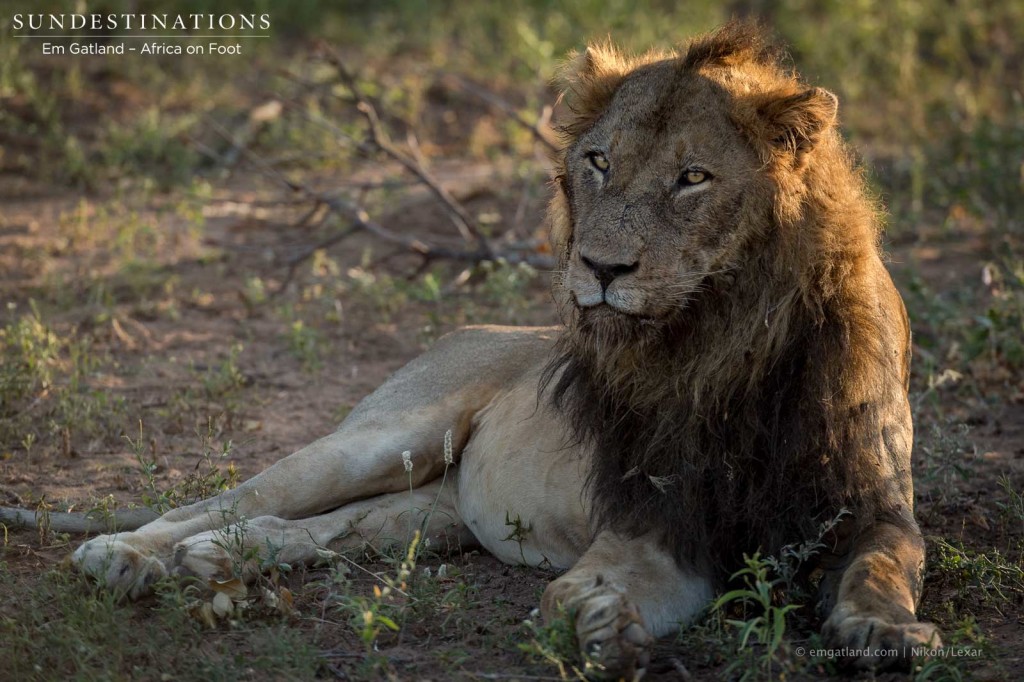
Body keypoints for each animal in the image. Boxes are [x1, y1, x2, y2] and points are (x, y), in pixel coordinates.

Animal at [8, 19, 937, 675]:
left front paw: (884, 632)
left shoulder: (873, 505)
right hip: (380, 439)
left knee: (314, 526)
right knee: (221, 500)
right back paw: (126, 557)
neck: (726, 338)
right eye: (599, 161)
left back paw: (218, 561)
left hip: (434, 509)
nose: (600, 268)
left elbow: (887, 565)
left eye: (693, 178)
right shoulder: (653, 523)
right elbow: (592, 587)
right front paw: (600, 624)